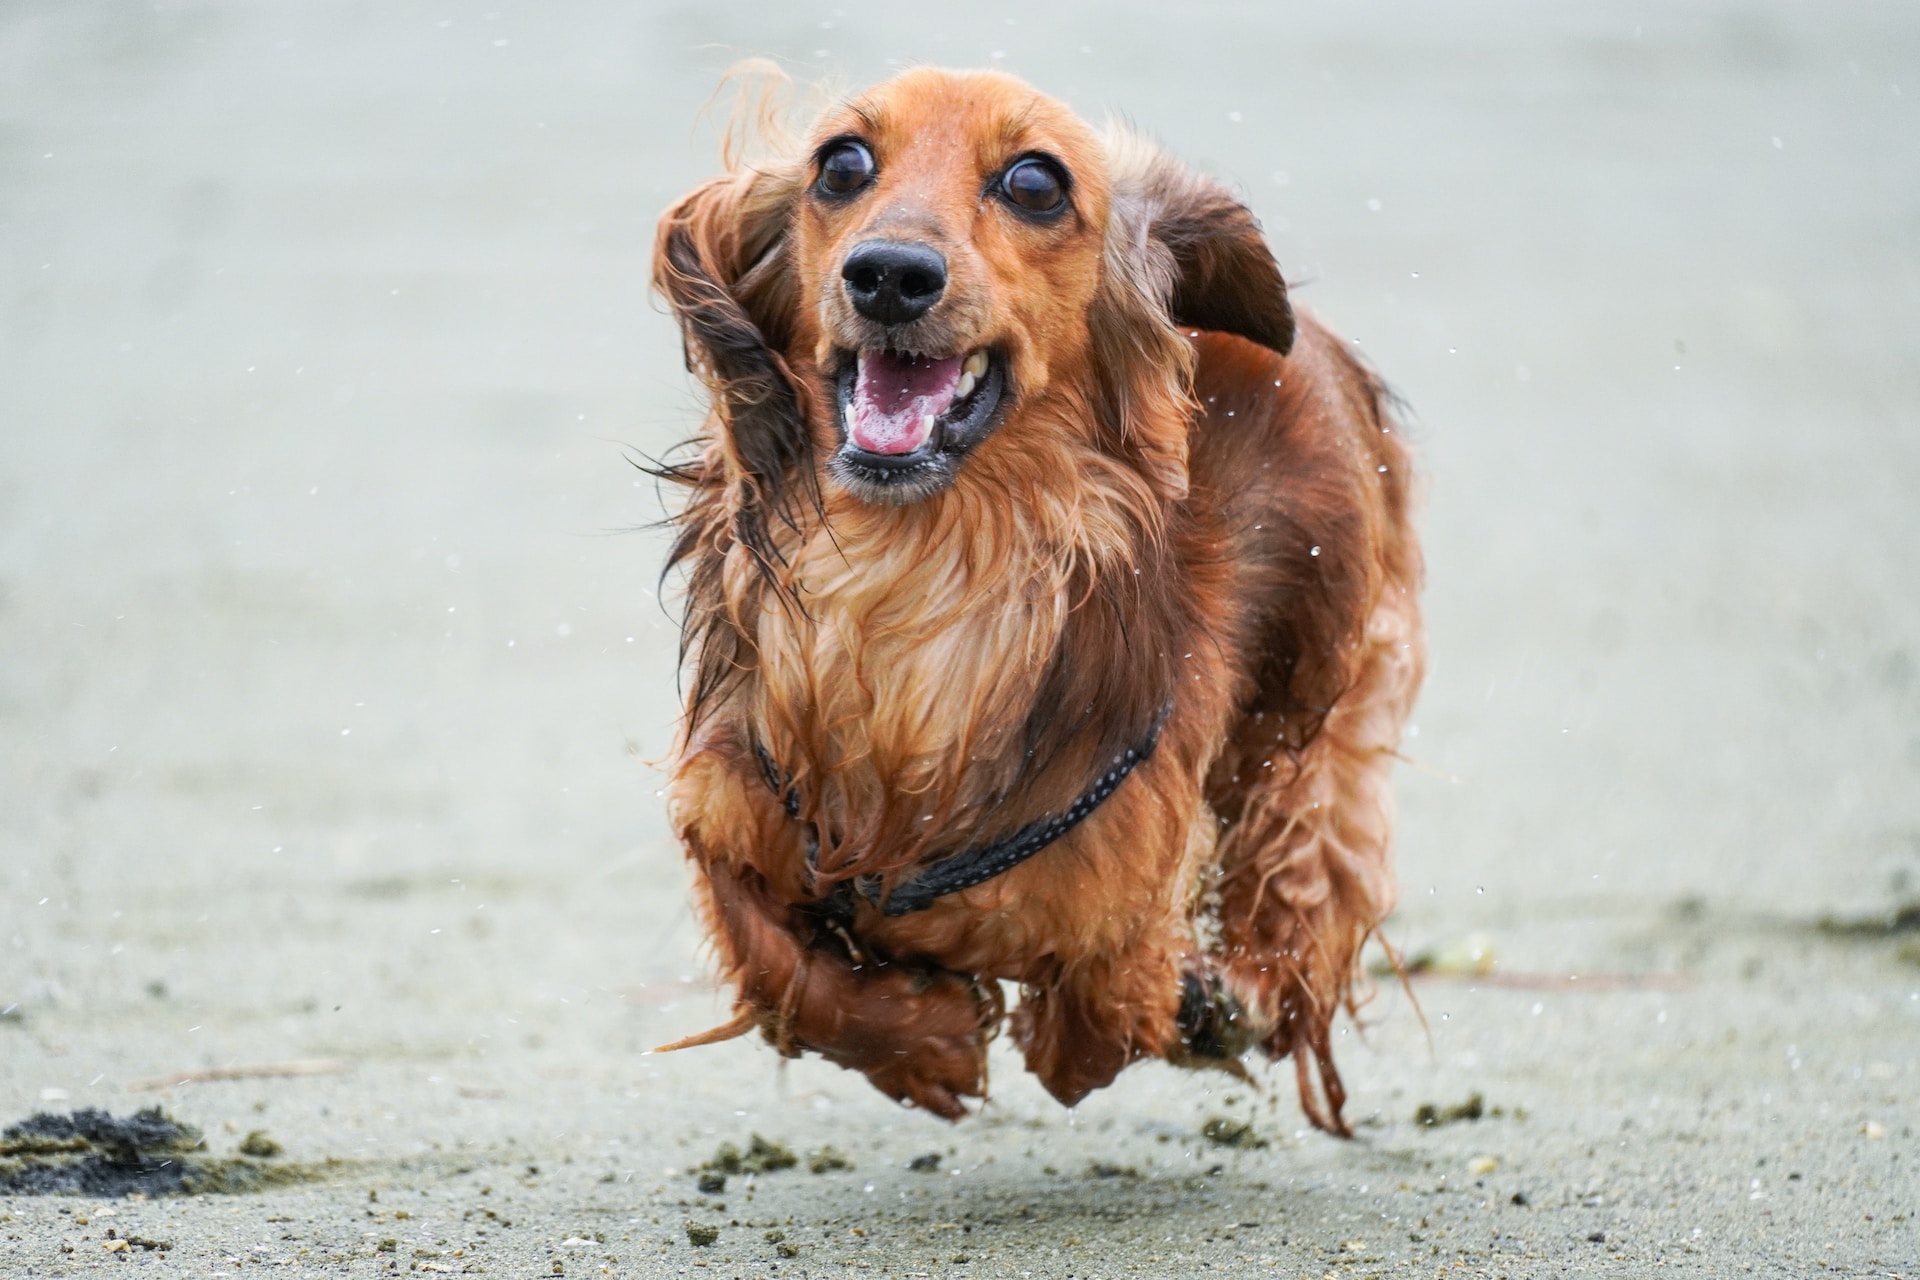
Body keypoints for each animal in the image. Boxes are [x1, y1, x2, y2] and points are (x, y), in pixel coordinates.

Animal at [652, 67, 1420, 1128]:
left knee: (1304, 858)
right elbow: (776, 960)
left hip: (1304, 697)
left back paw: (1250, 983)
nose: (888, 274)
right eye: (840, 164)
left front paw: (1182, 1008)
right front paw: (924, 1040)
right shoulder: (727, 799)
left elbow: (1096, 1017)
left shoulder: (1120, 897)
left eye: (1035, 184)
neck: (915, 569)